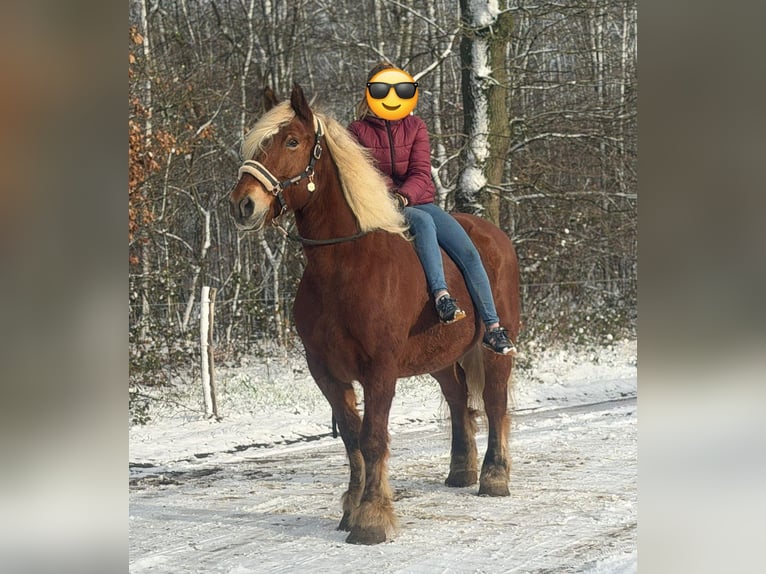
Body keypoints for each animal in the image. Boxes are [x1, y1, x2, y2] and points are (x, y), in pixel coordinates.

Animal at [229, 84, 521, 545]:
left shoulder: (379, 369)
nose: (243, 204)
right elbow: (351, 438)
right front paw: (352, 507)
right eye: (256, 143)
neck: (344, 266)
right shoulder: (326, 371)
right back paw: (461, 471)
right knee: (459, 402)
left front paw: (371, 518)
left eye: (291, 141)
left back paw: (494, 477)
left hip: (494, 346)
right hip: (440, 359)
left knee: (494, 404)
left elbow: (372, 438)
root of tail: (494, 236)